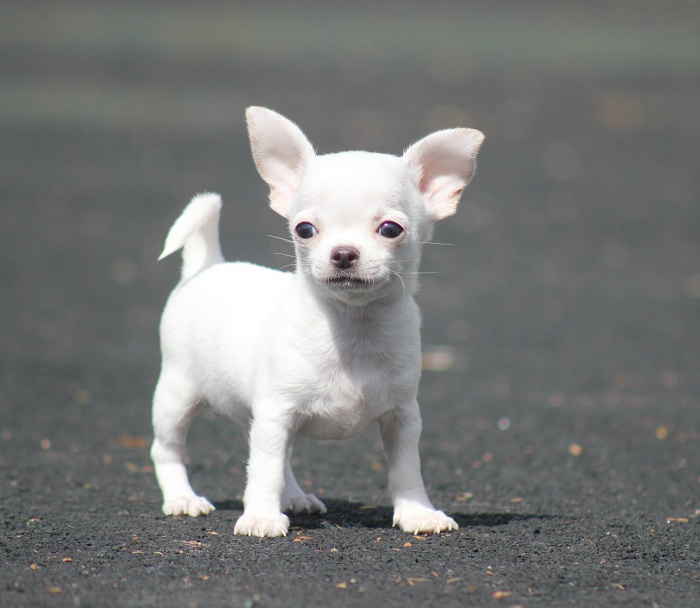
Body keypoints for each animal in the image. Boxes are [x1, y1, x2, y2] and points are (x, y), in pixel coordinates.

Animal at [152, 108, 482, 536]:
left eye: (390, 229)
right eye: (304, 230)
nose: (343, 253)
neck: (353, 328)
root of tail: (208, 263)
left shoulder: (403, 417)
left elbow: (407, 470)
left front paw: (417, 512)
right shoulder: (275, 413)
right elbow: (264, 471)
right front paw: (260, 516)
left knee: (280, 456)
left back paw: (294, 497)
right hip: (177, 394)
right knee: (168, 448)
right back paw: (182, 498)